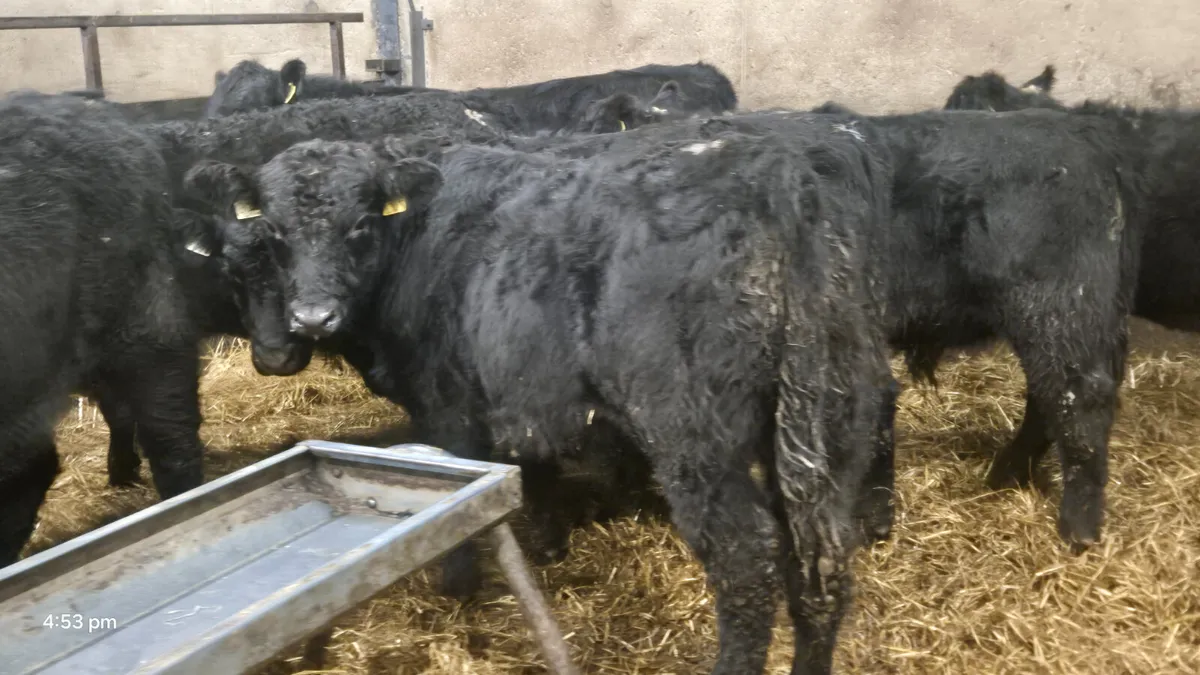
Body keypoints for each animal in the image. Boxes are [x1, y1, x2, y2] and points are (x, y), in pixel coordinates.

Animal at [186, 125, 895, 674]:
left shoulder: (449, 405)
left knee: (748, 561)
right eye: (274, 234)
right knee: (824, 562)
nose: (312, 317)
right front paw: (549, 545)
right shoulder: (525, 390)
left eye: (360, 224)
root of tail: (777, 175)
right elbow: (536, 464)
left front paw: (458, 589)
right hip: (829, 422)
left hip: (696, 436)